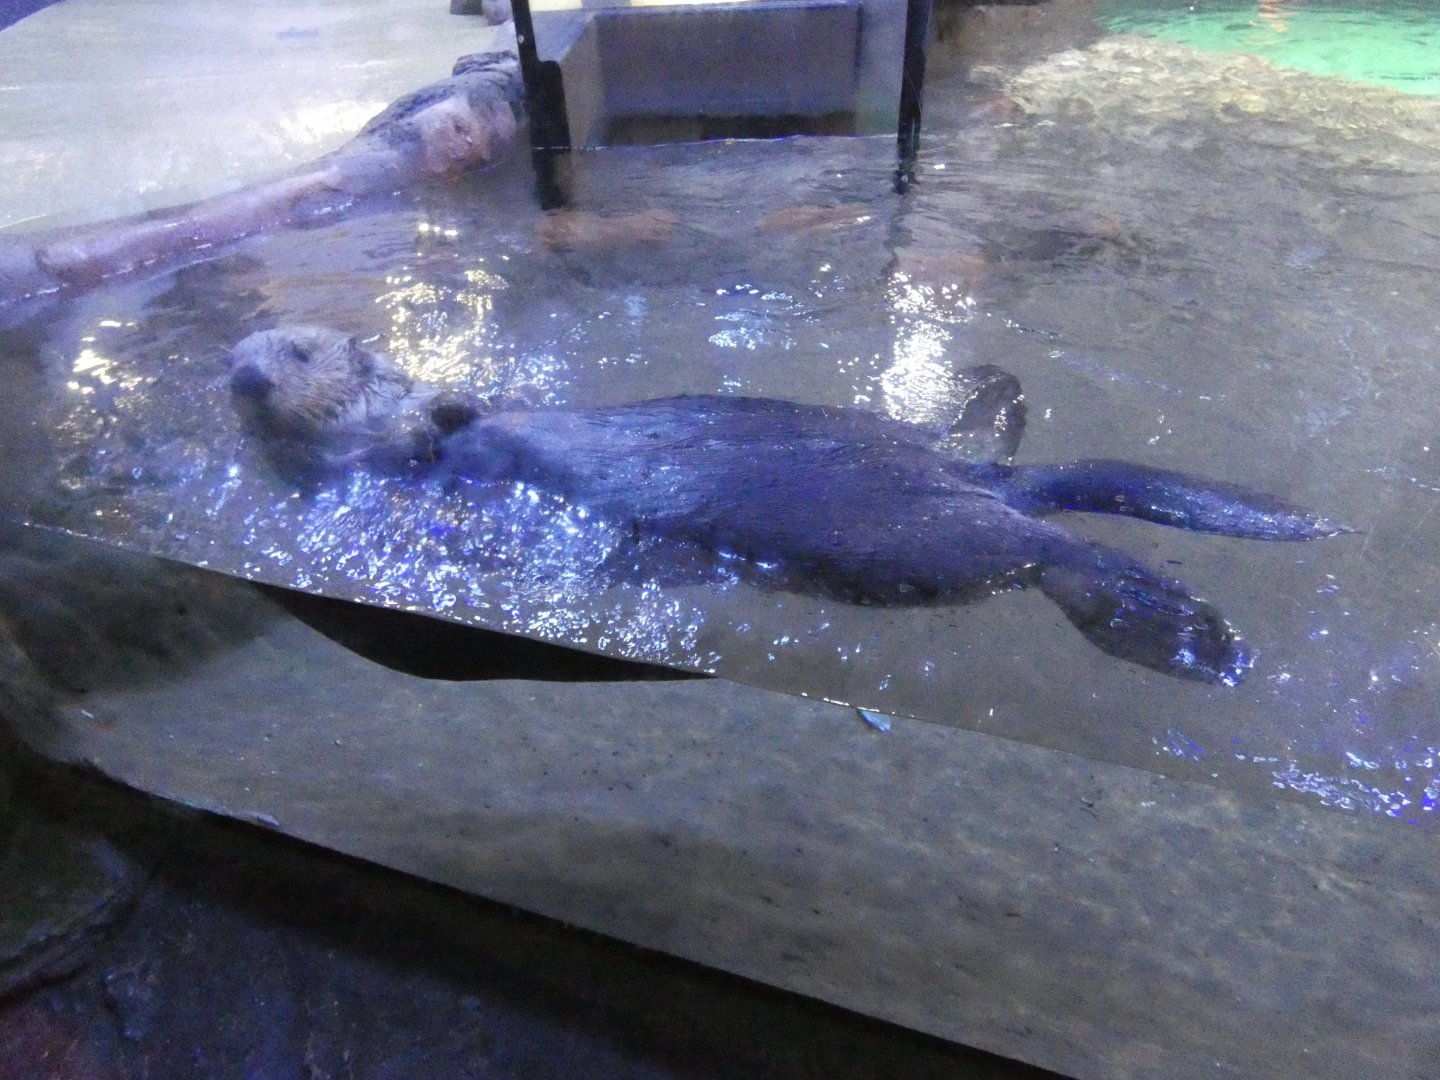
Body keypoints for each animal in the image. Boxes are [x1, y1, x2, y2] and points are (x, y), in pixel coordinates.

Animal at [228, 326, 1347, 686]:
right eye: (237, 351)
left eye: (297, 347)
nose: (241, 375)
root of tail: (974, 479)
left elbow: (449, 422)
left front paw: (444, 413)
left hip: (921, 534)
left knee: (1056, 545)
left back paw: (1195, 637)